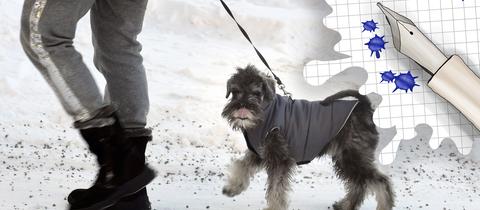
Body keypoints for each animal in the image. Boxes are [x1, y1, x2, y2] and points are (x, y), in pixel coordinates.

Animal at [221, 64, 394, 210]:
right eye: (236, 92)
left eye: (256, 93)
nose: (242, 107)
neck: (266, 112)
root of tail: (364, 107)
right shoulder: (259, 153)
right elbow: (242, 165)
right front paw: (233, 187)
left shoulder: (279, 159)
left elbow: (276, 188)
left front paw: (274, 207)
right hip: (345, 159)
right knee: (360, 184)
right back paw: (345, 205)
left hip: (353, 157)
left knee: (380, 181)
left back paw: (383, 206)